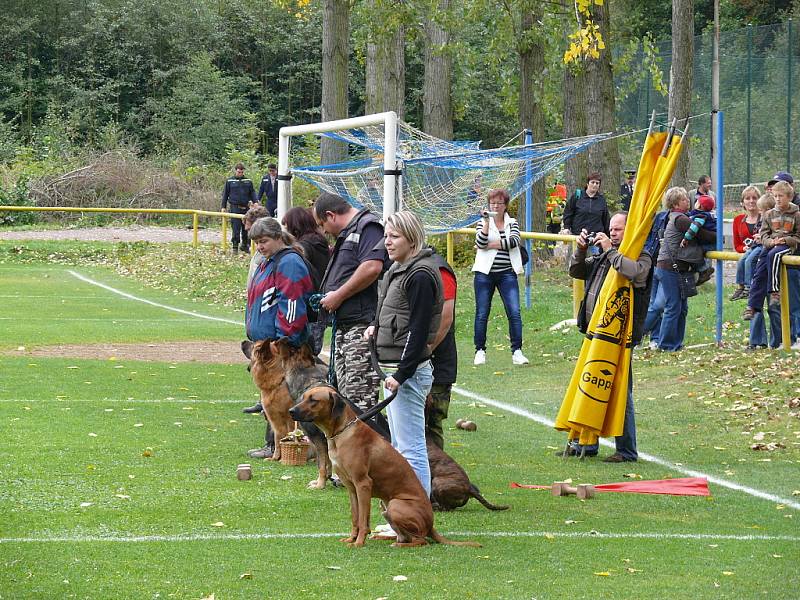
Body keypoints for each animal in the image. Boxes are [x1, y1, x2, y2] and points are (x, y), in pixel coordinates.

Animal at [242, 340, 332, 490]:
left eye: (255, 345)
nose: (243, 341)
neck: (278, 381)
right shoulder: (274, 420)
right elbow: (278, 440)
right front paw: (275, 458)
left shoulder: (291, 420)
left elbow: (290, 436)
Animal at [292, 384, 482, 548]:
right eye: (304, 397)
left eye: (314, 400)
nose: (291, 411)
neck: (342, 432)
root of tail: (431, 525)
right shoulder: (351, 488)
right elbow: (355, 517)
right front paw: (352, 538)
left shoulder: (363, 484)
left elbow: (363, 520)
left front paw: (358, 542)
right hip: (385, 507)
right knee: (407, 536)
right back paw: (386, 537)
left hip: (396, 505)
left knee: (422, 540)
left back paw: (398, 544)